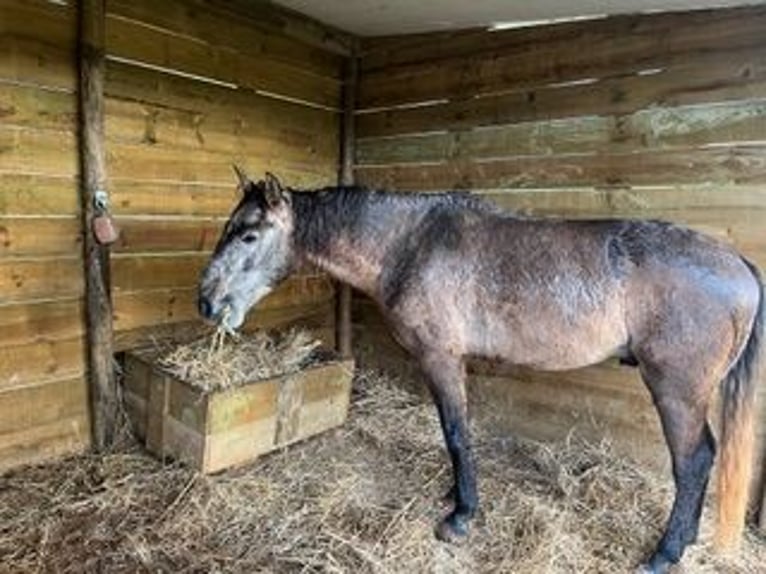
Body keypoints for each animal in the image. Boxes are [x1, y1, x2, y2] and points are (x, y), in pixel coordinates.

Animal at [196, 169, 760, 572]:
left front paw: (461, 516)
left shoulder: (441, 358)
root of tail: (739, 264)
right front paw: (454, 497)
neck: (408, 243)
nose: (206, 302)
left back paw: (665, 554)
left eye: (248, 236)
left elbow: (456, 433)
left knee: (694, 461)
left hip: (676, 391)